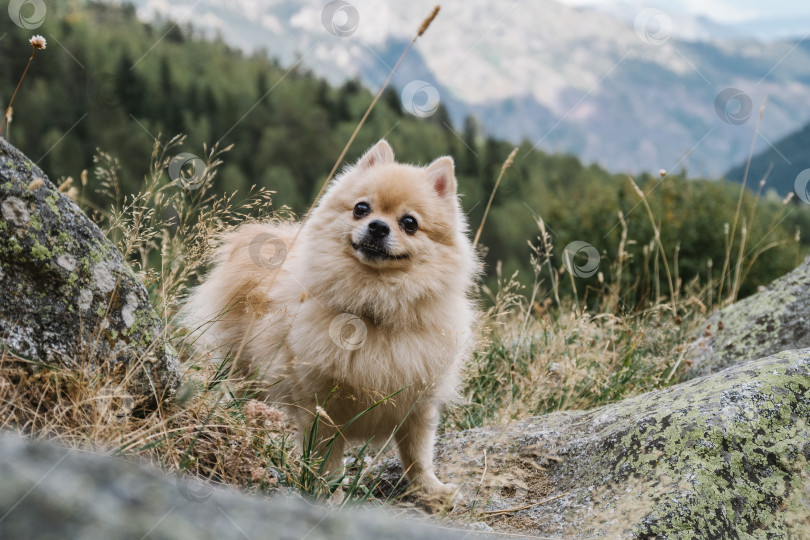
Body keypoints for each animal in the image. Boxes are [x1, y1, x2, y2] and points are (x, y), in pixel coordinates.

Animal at [186, 140, 476, 498]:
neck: (374, 305)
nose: (378, 226)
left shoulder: (418, 405)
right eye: (361, 209)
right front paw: (331, 496)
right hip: (241, 372)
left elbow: (417, 455)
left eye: (410, 222)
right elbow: (326, 463)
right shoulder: (321, 411)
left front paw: (431, 489)